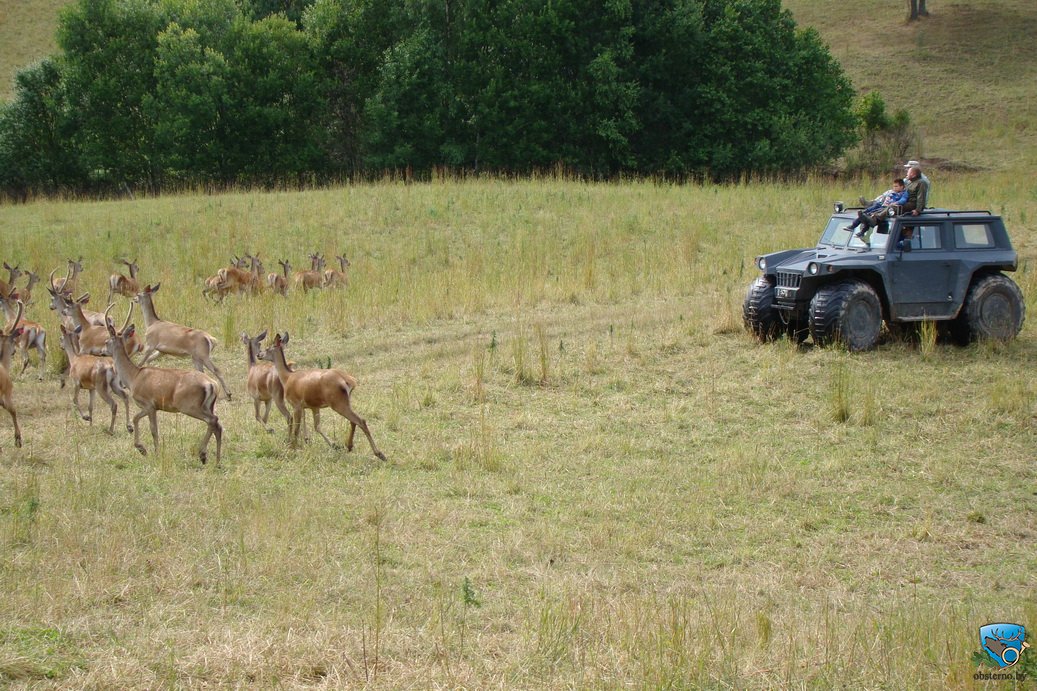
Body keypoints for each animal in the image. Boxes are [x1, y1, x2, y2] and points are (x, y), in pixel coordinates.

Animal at [103, 302, 222, 460]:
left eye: (106, 341)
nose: (102, 351)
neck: (133, 377)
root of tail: (212, 384)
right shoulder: (153, 406)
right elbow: (142, 421)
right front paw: (144, 448)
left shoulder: (148, 404)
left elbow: (151, 428)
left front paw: (151, 450)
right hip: (208, 405)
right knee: (217, 425)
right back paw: (216, 459)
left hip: (188, 405)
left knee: (213, 420)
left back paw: (202, 453)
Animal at [259, 332, 389, 460]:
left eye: (268, 348)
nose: (259, 354)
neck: (287, 378)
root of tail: (348, 380)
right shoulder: (313, 406)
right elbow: (316, 426)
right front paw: (331, 445)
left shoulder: (296, 404)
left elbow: (297, 428)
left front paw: (292, 447)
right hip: (345, 401)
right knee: (354, 421)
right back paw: (349, 446)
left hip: (337, 403)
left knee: (360, 420)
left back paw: (379, 453)